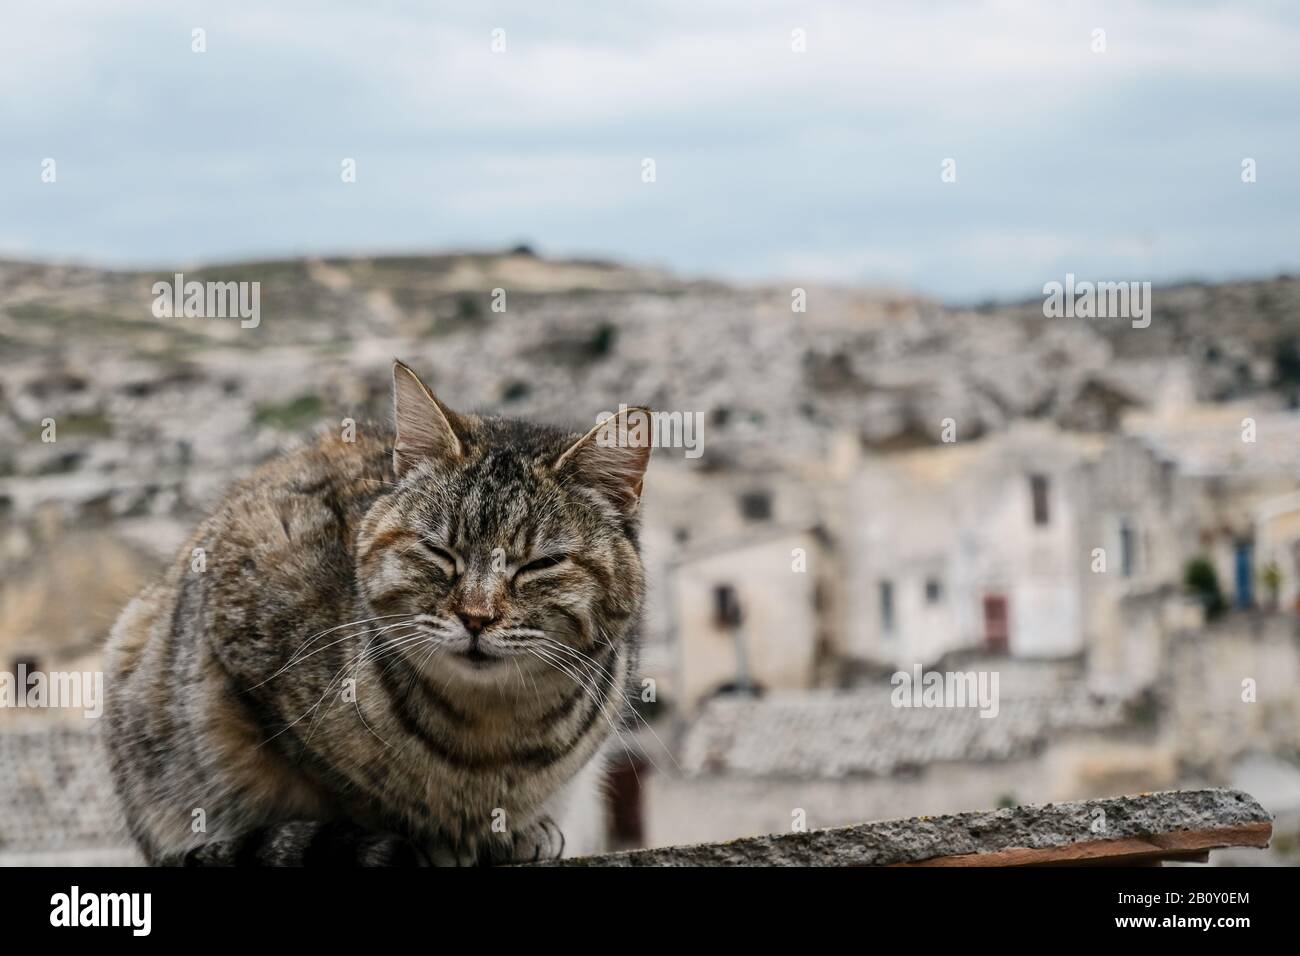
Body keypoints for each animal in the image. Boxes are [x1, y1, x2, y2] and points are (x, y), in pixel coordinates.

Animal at [104, 361, 650, 868]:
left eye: (540, 564)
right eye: (439, 551)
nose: (476, 617)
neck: (490, 729)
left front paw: (510, 831)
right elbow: (353, 789)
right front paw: (434, 838)